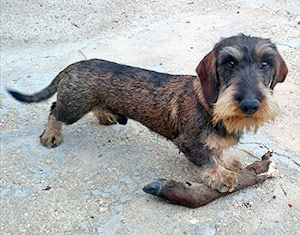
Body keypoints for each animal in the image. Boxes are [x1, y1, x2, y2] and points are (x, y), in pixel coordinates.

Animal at [8, 35, 288, 193]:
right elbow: (207, 160)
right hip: (74, 106)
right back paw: (51, 135)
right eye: (229, 63)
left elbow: (217, 151)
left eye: (265, 63)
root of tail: (73, 65)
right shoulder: (188, 143)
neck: (212, 107)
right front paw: (221, 176)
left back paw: (105, 115)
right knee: (55, 110)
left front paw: (226, 161)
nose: (250, 104)